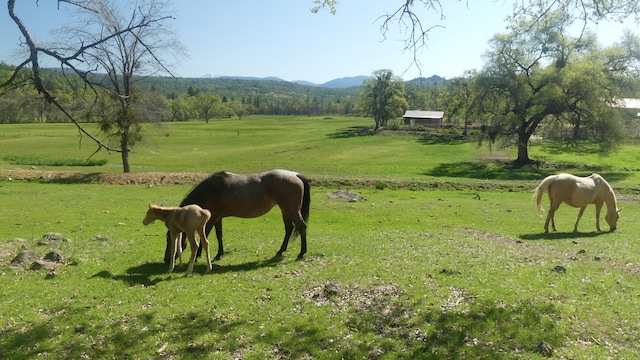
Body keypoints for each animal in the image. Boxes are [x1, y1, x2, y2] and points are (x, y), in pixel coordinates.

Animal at [165, 169, 310, 264]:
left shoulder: (211, 219)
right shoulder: (218, 218)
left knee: (301, 227)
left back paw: (301, 253)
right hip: (285, 209)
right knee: (289, 228)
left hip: (292, 210)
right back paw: (281, 251)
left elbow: (204, 235)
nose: (166, 259)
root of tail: (295, 175)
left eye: (170, 239)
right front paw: (219, 255)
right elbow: (219, 235)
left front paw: (197, 256)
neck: (209, 190)